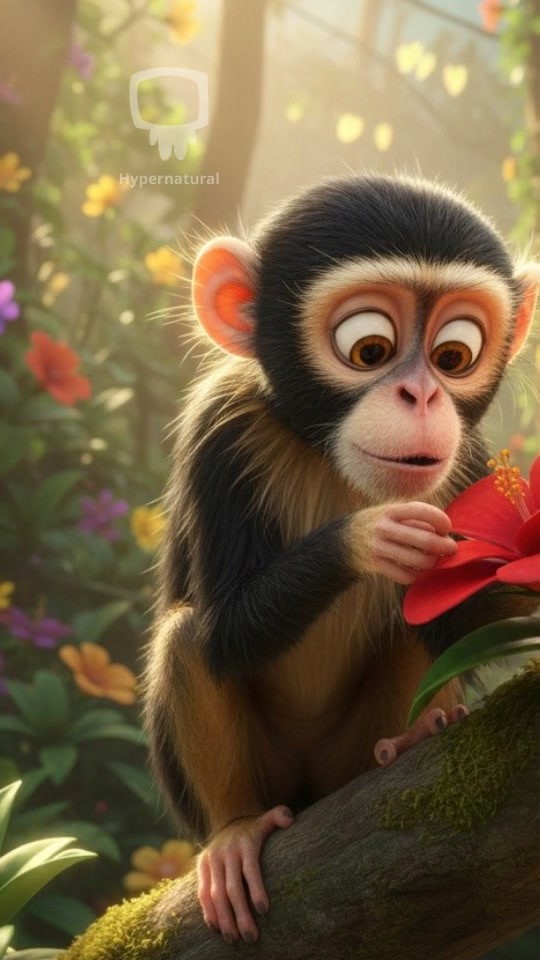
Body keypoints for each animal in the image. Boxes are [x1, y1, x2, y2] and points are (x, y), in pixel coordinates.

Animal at [143, 174, 539, 945]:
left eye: (453, 356)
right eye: (370, 349)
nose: (422, 394)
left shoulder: (469, 464)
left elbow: (457, 614)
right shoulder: (220, 428)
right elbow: (225, 631)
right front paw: (368, 537)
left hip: (346, 759)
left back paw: (413, 736)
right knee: (188, 640)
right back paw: (235, 832)